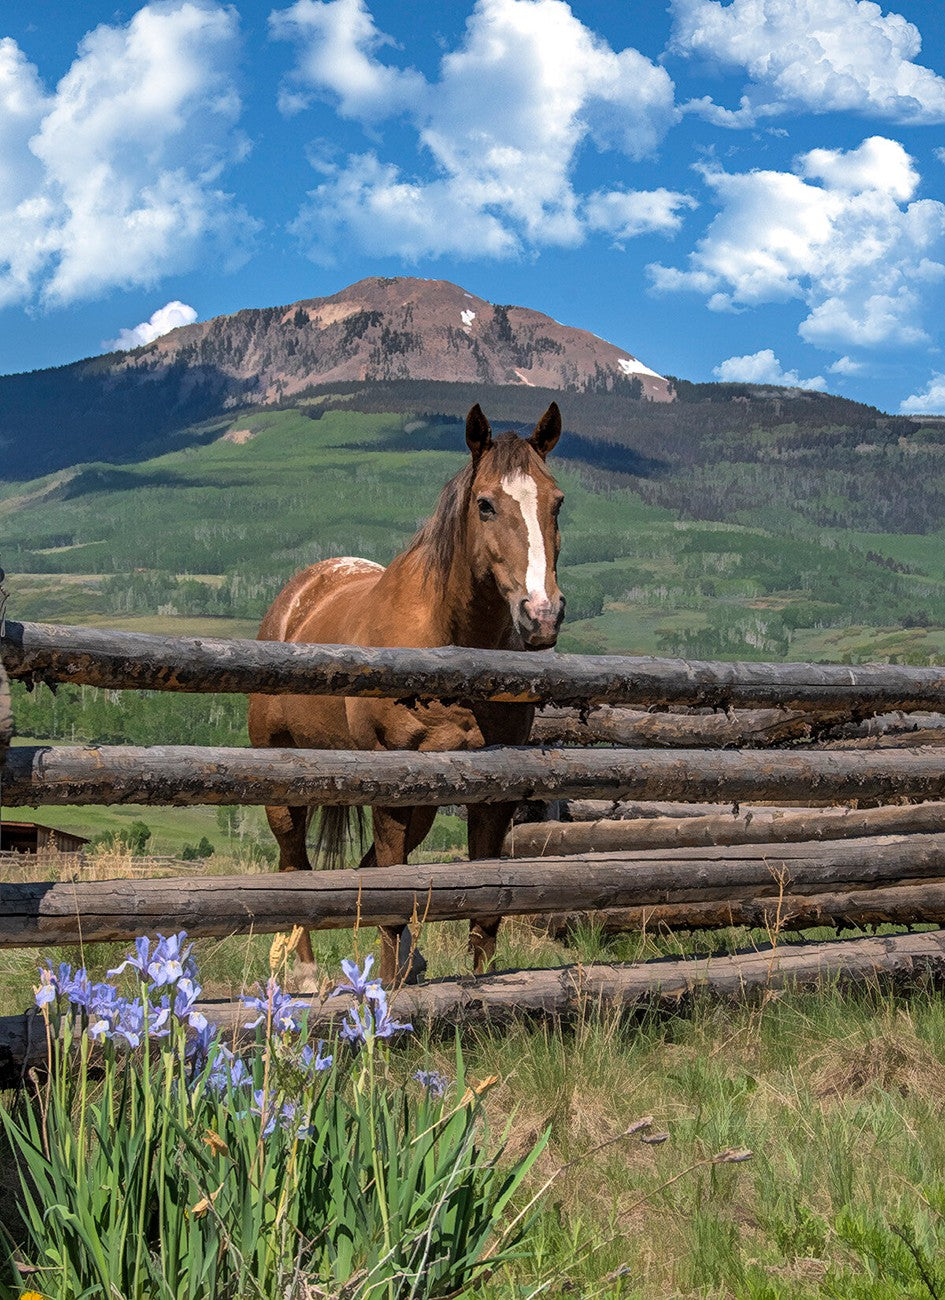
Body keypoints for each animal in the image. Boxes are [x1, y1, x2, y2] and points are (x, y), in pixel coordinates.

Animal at [248, 402, 565, 984]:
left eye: (557, 502)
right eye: (485, 505)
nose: (541, 614)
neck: (453, 646)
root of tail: (298, 596)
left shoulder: (492, 791)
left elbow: (481, 901)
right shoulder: (392, 785)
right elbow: (391, 894)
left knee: (364, 868)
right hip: (284, 783)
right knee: (295, 865)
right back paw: (305, 974)